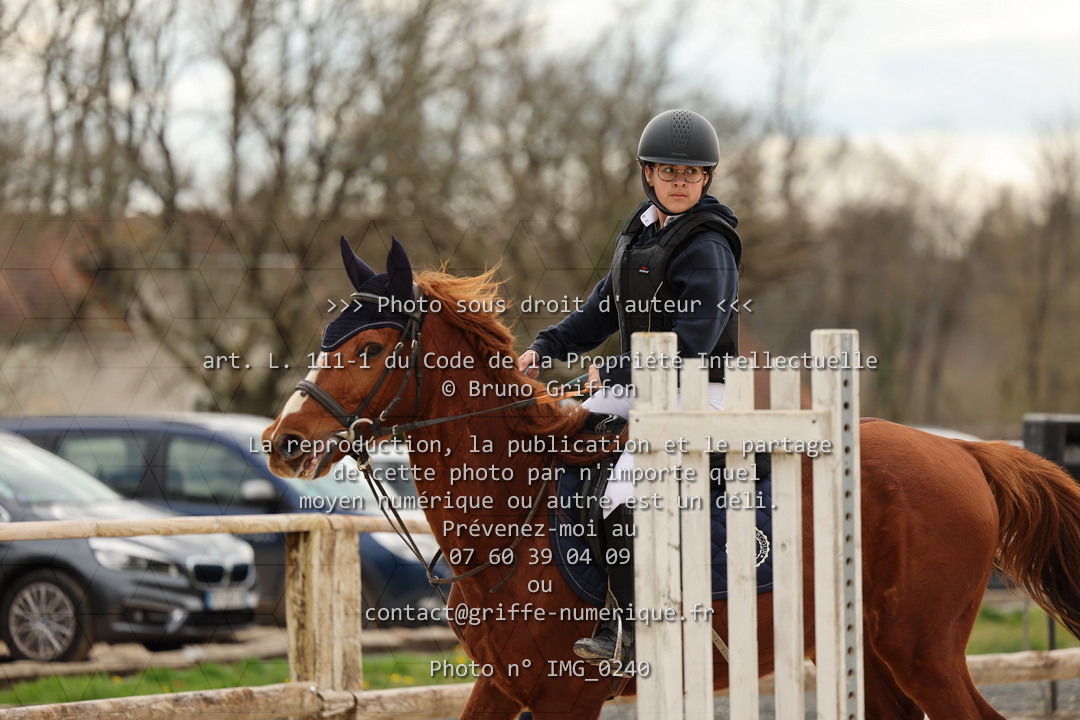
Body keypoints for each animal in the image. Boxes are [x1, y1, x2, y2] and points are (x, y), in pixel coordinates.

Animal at [263, 237, 1080, 719]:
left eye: (370, 349)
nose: (283, 444)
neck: (513, 511)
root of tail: (965, 454)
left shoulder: (565, 697)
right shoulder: (501, 684)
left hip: (921, 651)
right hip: (871, 655)